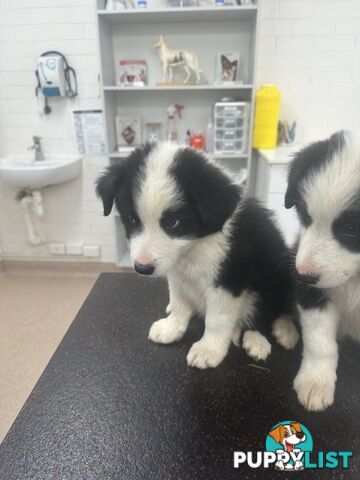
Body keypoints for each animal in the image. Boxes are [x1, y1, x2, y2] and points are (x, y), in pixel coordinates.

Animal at [96, 142, 298, 368]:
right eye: (131, 219)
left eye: (172, 222)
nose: (142, 268)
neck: (193, 248)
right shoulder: (177, 274)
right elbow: (179, 303)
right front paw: (171, 328)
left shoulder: (228, 280)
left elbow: (217, 319)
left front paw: (209, 349)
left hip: (276, 279)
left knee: (274, 312)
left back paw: (270, 336)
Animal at [286, 129, 360, 410]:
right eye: (304, 216)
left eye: (352, 229)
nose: (302, 275)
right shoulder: (312, 296)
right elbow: (320, 342)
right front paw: (315, 382)